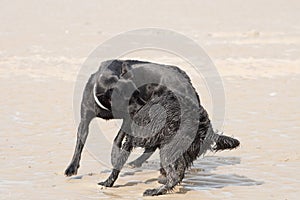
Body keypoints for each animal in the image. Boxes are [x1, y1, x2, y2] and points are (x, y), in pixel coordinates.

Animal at [65, 60, 239, 196]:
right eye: (129, 97)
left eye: (137, 92)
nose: (146, 106)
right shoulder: (86, 120)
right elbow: (80, 143)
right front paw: (72, 168)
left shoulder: (129, 128)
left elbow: (118, 156)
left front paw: (108, 180)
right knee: (174, 170)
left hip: (168, 146)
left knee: (174, 174)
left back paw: (154, 189)